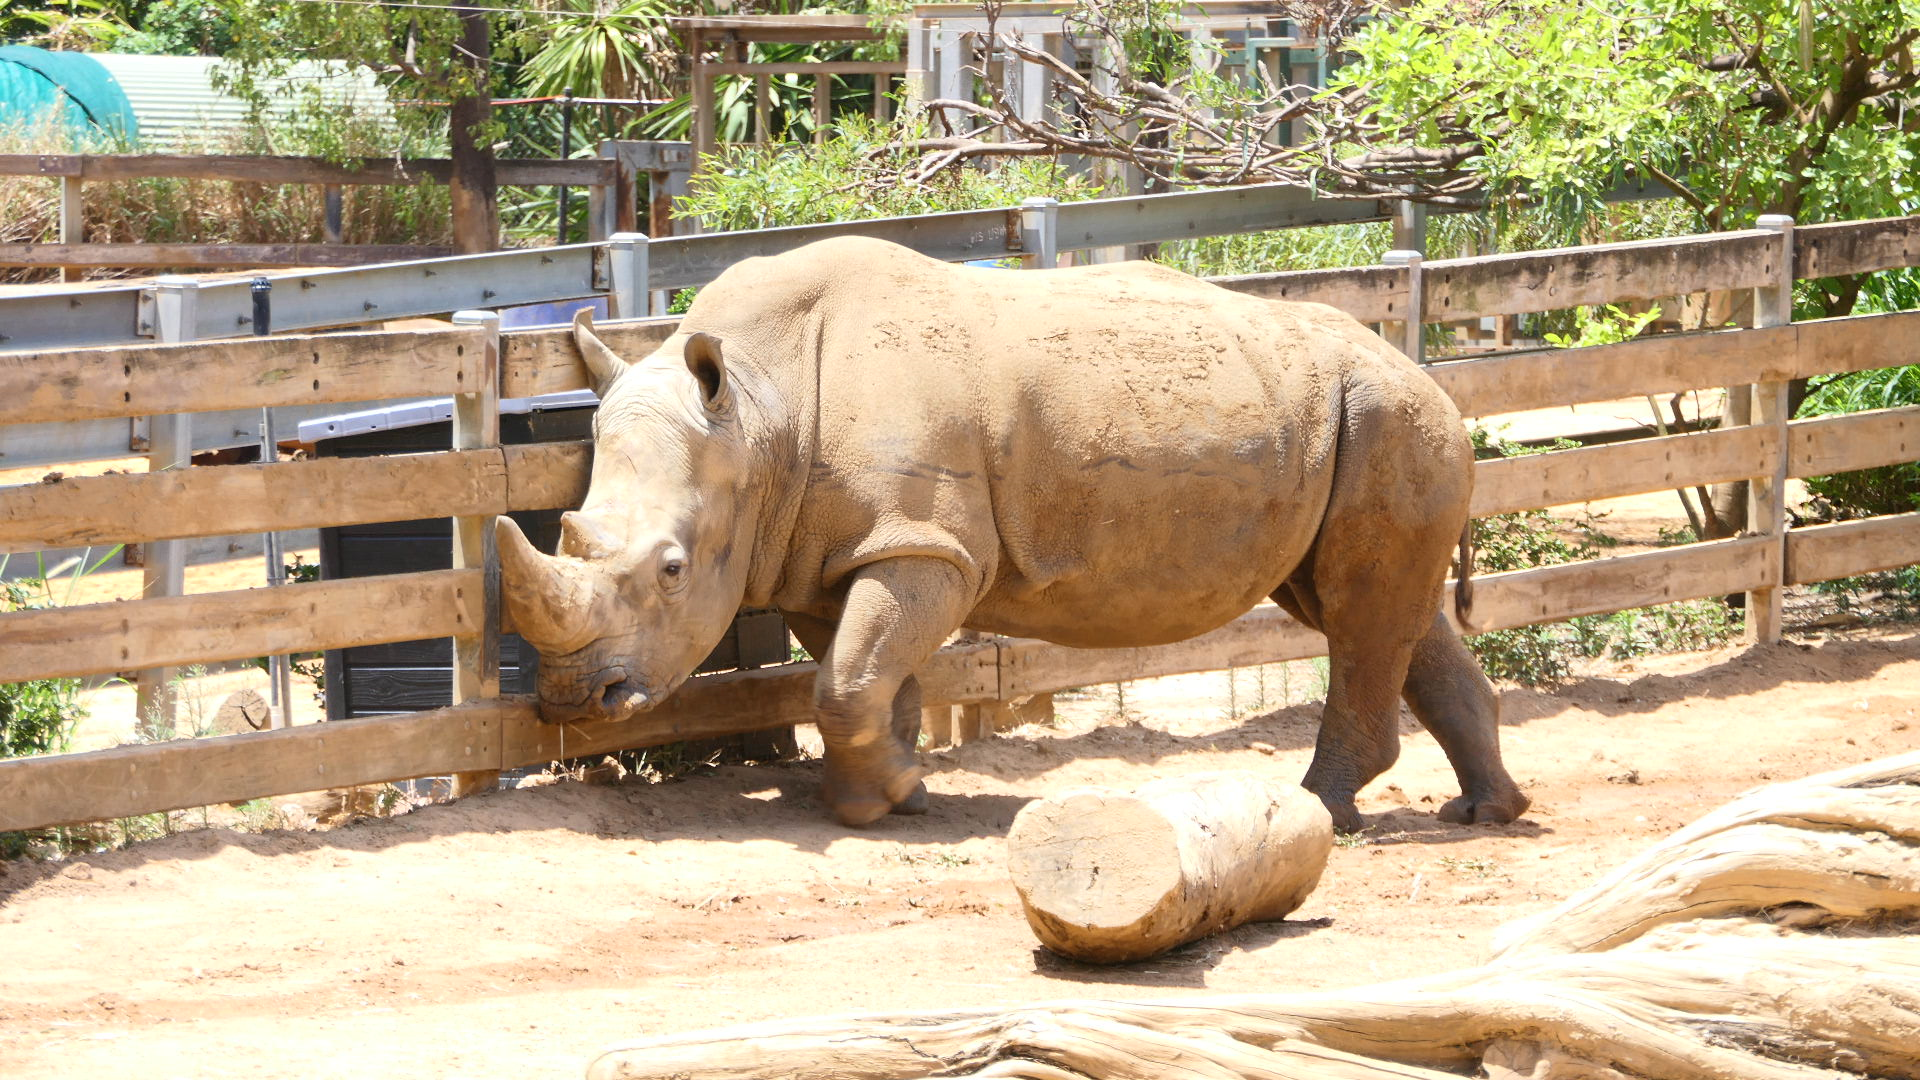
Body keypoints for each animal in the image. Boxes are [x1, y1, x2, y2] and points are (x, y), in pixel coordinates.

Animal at [495, 237, 1530, 831]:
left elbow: (850, 677)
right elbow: (866, 674)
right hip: (1358, 423)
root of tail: (1434, 375)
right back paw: (1483, 810)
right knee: (1377, 611)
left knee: (1360, 613)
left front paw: (876, 802)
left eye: (672, 570)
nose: (572, 700)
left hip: (1388, 418)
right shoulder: (835, 549)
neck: (756, 410)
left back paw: (1323, 811)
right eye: (569, 530)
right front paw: (902, 789)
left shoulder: (927, 544)